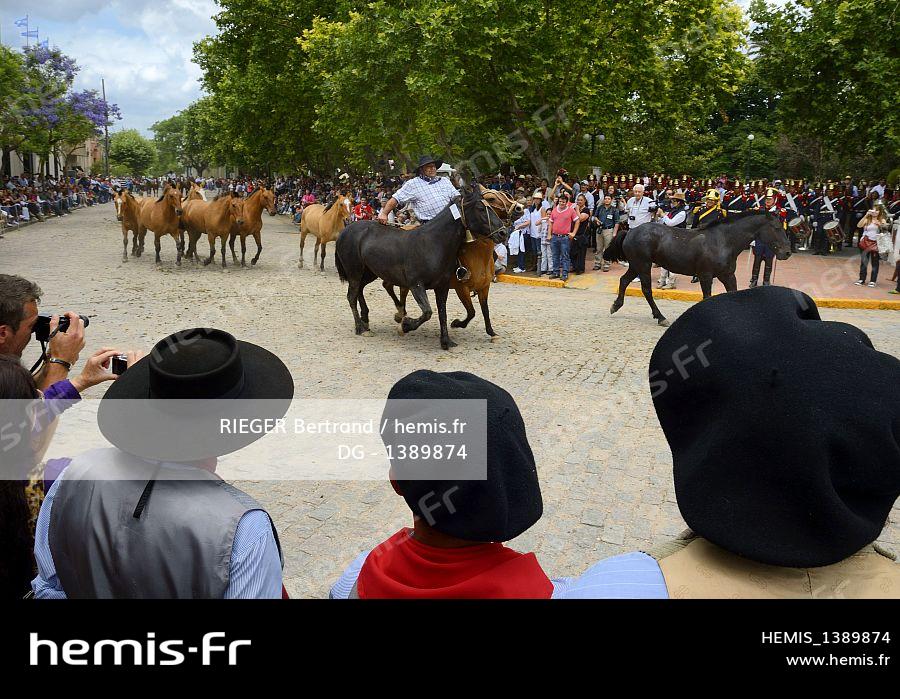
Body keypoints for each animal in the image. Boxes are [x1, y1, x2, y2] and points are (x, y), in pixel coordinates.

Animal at [336, 186, 506, 350]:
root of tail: (345, 230)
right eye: (480, 208)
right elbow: (428, 312)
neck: (432, 244)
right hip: (354, 272)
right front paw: (405, 326)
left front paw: (446, 341)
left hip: (369, 272)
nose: (503, 232)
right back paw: (360, 327)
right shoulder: (417, 285)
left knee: (360, 289)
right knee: (352, 296)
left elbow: (443, 312)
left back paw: (366, 320)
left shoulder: (443, 287)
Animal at [600, 211, 792, 326]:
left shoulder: (728, 275)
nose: (787, 252)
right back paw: (660, 317)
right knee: (646, 289)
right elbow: (707, 297)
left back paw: (615, 306)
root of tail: (630, 232)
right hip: (643, 265)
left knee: (624, 280)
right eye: (776, 228)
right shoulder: (706, 275)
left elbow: (733, 294)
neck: (723, 241)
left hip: (635, 265)